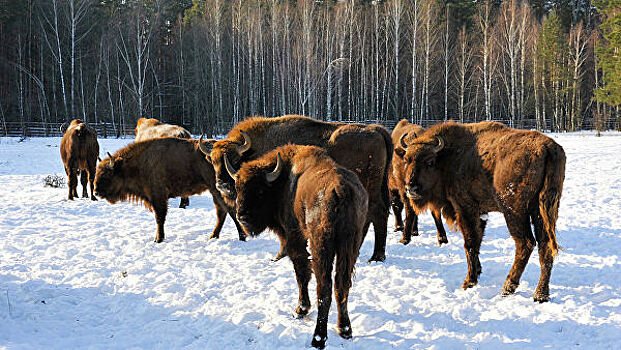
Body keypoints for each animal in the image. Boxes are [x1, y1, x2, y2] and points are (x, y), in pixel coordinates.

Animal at [94, 137, 245, 243]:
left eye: (107, 174)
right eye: (97, 172)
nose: (95, 192)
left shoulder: (158, 197)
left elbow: (159, 218)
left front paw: (158, 239)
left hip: (219, 189)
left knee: (230, 210)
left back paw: (241, 237)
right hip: (214, 191)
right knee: (222, 212)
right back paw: (213, 236)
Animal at [200, 115, 392, 262]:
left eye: (234, 159)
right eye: (213, 160)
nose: (222, 185)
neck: (254, 148)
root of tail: (376, 130)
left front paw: (279, 256)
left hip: (371, 189)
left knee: (378, 214)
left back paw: (376, 256)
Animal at [228, 144, 366, 348]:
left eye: (260, 190)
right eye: (238, 188)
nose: (242, 216)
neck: (282, 182)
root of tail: (342, 190)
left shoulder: (295, 238)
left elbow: (301, 273)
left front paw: (300, 310)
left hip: (321, 245)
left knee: (324, 287)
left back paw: (318, 338)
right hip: (350, 245)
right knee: (342, 284)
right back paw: (344, 329)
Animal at [400, 121, 564, 302]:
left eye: (429, 162)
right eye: (407, 160)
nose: (411, 188)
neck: (449, 156)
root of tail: (548, 148)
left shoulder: (465, 208)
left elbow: (470, 243)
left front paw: (468, 282)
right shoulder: (481, 213)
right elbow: (477, 242)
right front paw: (477, 272)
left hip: (514, 212)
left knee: (526, 243)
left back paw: (508, 287)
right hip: (542, 211)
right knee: (545, 246)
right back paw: (541, 294)